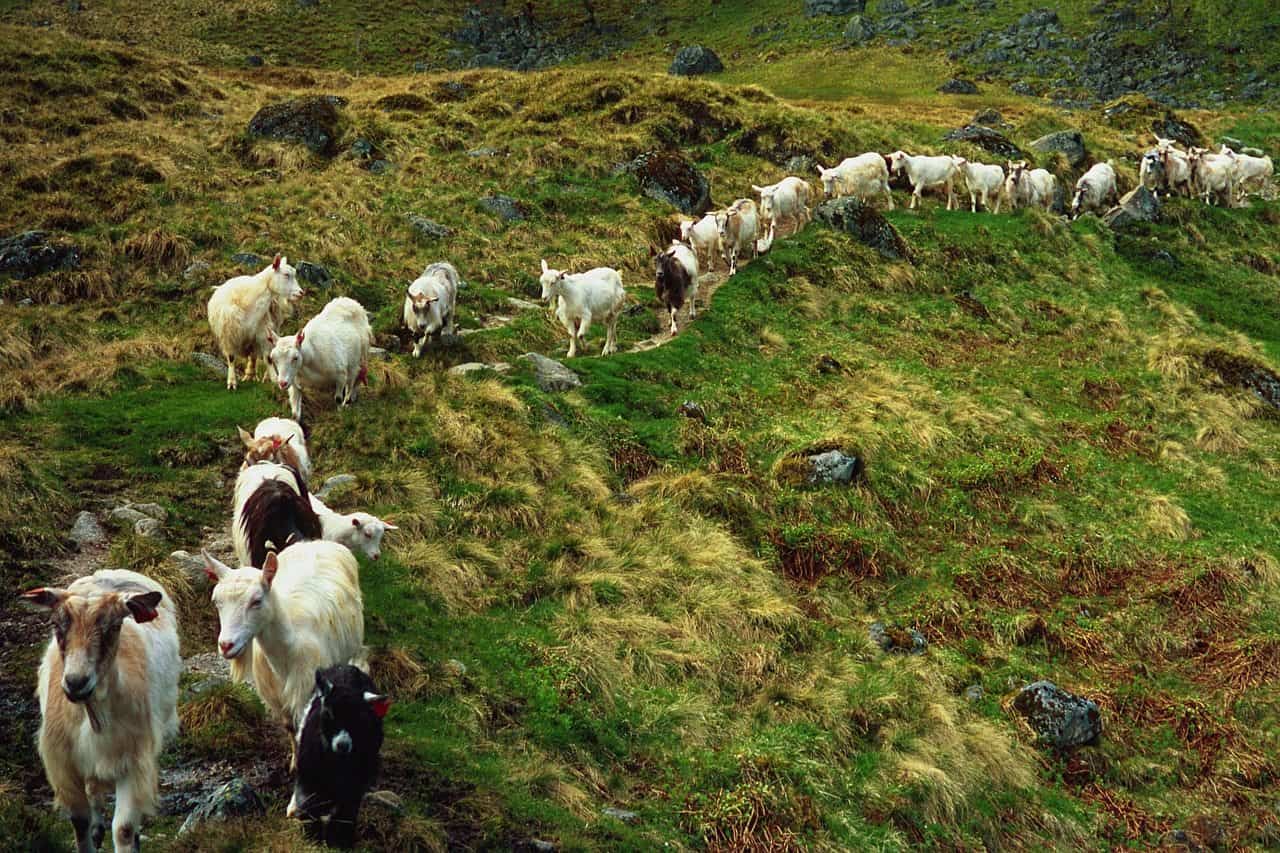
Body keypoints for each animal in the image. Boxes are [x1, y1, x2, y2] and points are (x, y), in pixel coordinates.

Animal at [207, 251, 302, 386]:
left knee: (257, 354)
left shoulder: (263, 330)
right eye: (286, 275)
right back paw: (249, 375)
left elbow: (268, 357)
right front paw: (232, 381)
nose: (301, 293)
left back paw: (255, 375)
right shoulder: (228, 335)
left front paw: (273, 378)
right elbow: (231, 358)